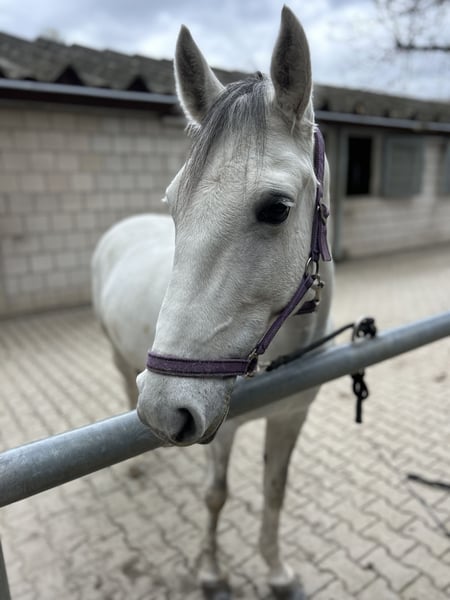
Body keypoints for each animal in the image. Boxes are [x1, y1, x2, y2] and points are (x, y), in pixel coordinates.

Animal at [91, 7, 334, 599]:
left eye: (276, 208)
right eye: (174, 203)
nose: (163, 412)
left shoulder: (291, 418)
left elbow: (275, 491)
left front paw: (277, 572)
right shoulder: (218, 430)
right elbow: (216, 495)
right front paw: (209, 571)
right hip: (119, 357)